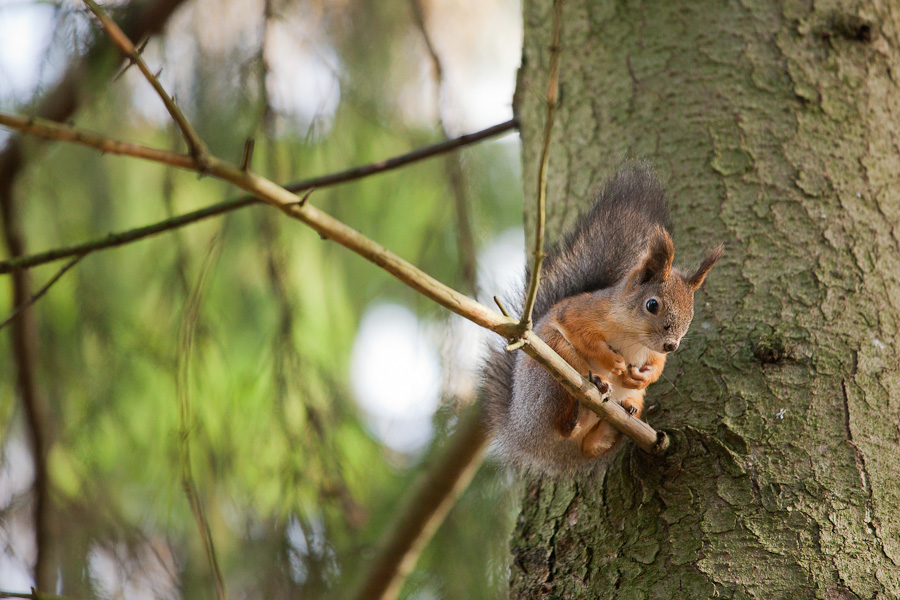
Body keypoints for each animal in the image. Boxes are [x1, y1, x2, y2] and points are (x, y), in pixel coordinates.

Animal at [482, 163, 720, 474]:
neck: (635, 338)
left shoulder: (653, 352)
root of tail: (525, 436)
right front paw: (612, 362)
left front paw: (640, 376)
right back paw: (582, 403)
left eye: (691, 314)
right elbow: (585, 337)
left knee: (591, 445)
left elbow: (657, 365)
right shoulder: (581, 314)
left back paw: (620, 417)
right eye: (652, 304)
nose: (672, 344)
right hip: (547, 379)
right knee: (563, 418)